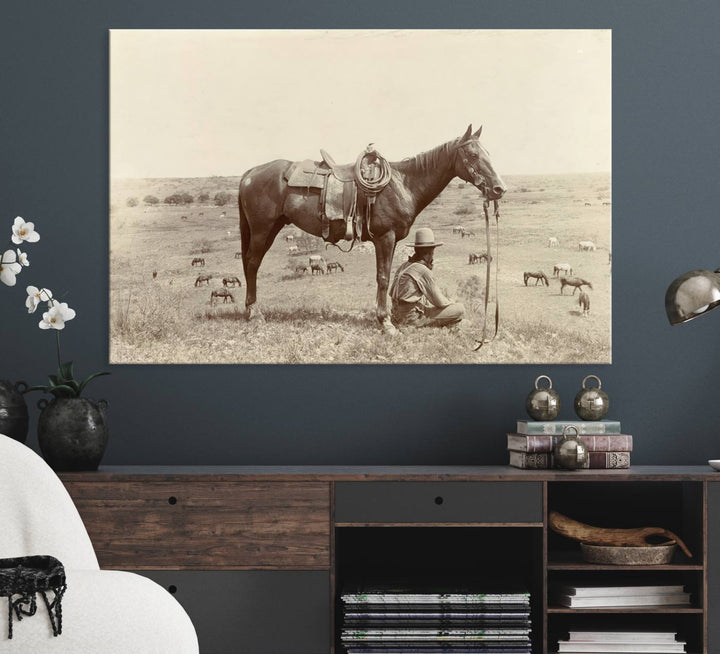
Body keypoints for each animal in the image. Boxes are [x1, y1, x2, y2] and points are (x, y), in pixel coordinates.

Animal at [239, 125, 504, 334]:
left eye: (489, 153)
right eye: (473, 154)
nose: (499, 188)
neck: (402, 184)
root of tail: (250, 173)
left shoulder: (392, 240)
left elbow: (387, 276)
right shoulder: (385, 238)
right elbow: (383, 278)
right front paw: (385, 322)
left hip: (272, 228)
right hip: (262, 230)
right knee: (252, 264)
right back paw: (254, 313)